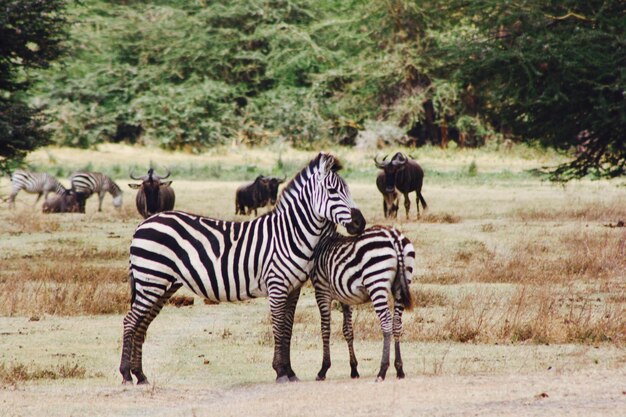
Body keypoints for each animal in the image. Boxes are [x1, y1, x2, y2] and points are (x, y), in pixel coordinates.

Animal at [119, 152, 366, 384]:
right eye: (332, 191)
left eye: (347, 189)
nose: (360, 223)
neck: (291, 233)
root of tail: (145, 223)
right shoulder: (277, 285)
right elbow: (278, 328)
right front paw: (280, 372)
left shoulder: (293, 288)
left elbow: (288, 328)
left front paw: (290, 372)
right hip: (152, 280)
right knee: (130, 321)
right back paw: (126, 374)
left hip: (162, 284)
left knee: (142, 324)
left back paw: (140, 375)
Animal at [308, 224, 414, 380]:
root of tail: (392, 235)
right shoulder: (345, 297)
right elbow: (348, 330)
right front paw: (354, 369)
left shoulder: (322, 291)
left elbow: (325, 329)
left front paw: (323, 369)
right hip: (402, 283)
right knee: (396, 323)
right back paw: (399, 369)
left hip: (376, 281)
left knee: (386, 322)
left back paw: (382, 370)